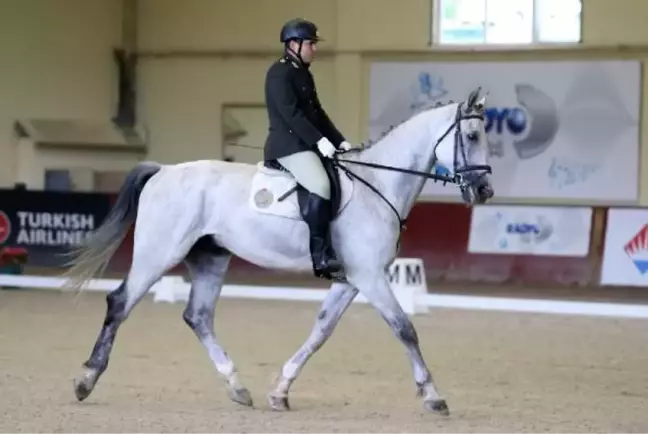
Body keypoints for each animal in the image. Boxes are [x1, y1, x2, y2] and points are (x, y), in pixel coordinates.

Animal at [64, 86, 492, 416]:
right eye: (472, 136)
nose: (484, 191)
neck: (378, 184)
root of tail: (164, 170)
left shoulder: (351, 279)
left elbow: (321, 330)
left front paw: (280, 391)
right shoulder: (370, 276)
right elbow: (405, 329)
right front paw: (433, 397)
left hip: (210, 257)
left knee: (198, 316)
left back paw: (237, 388)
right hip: (158, 253)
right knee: (120, 303)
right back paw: (86, 381)